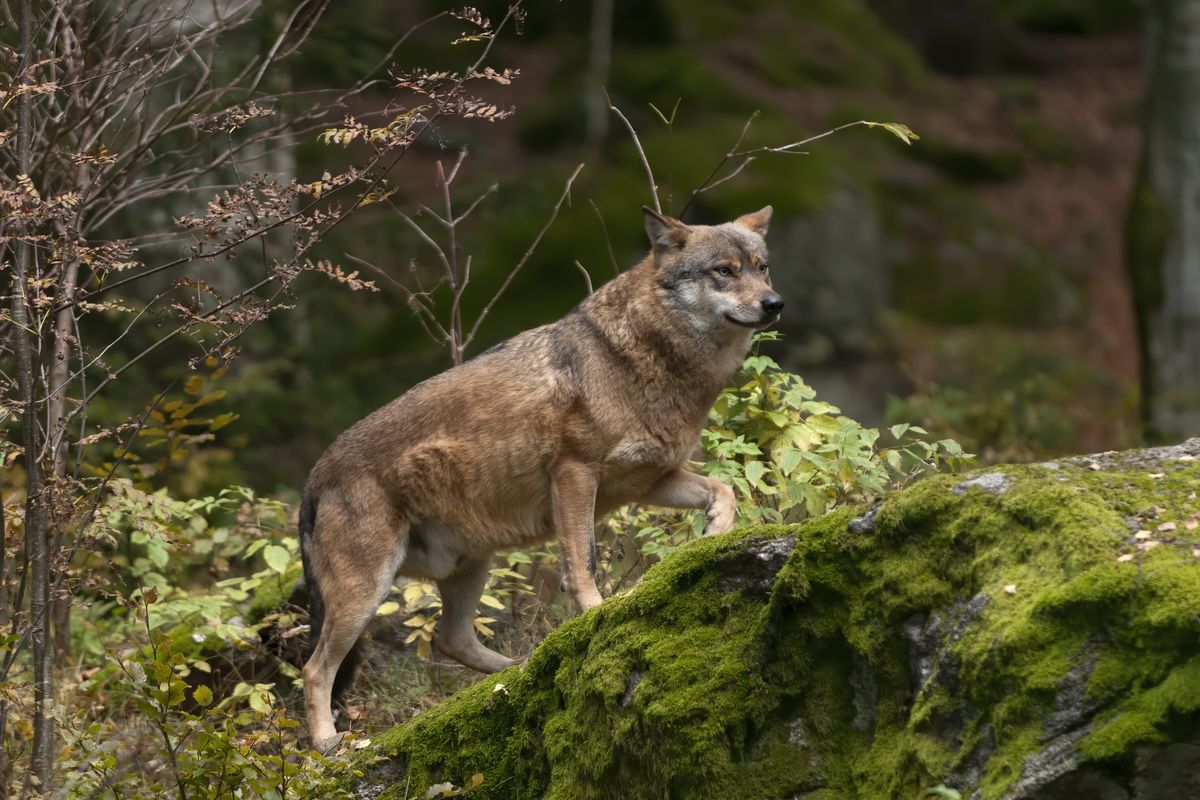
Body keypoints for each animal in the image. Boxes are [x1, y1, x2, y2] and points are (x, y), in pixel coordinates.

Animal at [299, 205, 782, 748]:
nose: (775, 304)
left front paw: (715, 531)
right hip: (366, 594)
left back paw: (519, 667)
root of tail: (313, 480)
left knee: (450, 639)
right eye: (724, 271)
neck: (648, 358)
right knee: (315, 669)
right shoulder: (574, 474)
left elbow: (726, 489)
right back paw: (327, 743)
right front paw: (596, 614)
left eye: (761, 267)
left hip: (470, 567)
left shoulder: (653, 479)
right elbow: (583, 564)